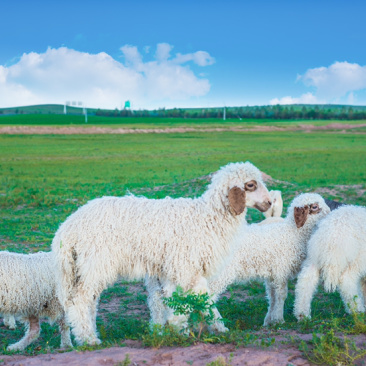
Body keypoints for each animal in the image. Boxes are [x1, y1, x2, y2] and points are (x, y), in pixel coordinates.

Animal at [53, 162, 274, 344]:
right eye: (251, 185)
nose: (270, 203)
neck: (207, 218)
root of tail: (67, 229)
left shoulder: (166, 270)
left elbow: (162, 300)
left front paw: (163, 331)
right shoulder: (185, 266)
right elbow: (194, 298)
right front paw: (192, 328)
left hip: (82, 267)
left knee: (88, 301)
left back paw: (88, 334)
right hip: (96, 262)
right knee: (81, 300)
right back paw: (89, 339)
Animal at [207, 193, 330, 328]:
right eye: (314, 206)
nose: (329, 213)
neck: (293, 234)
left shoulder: (272, 275)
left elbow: (272, 296)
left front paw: (268, 320)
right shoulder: (281, 270)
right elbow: (281, 295)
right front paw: (279, 319)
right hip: (222, 273)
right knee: (208, 296)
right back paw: (217, 326)